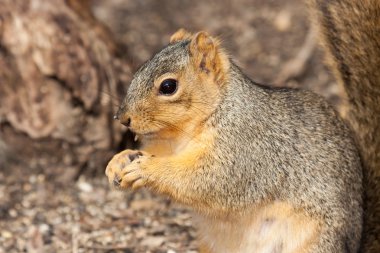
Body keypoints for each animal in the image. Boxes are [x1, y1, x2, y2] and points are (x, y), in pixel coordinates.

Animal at [104, 0, 380, 252]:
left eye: (168, 86)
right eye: (138, 70)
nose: (122, 118)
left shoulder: (246, 150)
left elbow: (210, 180)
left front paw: (146, 169)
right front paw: (119, 160)